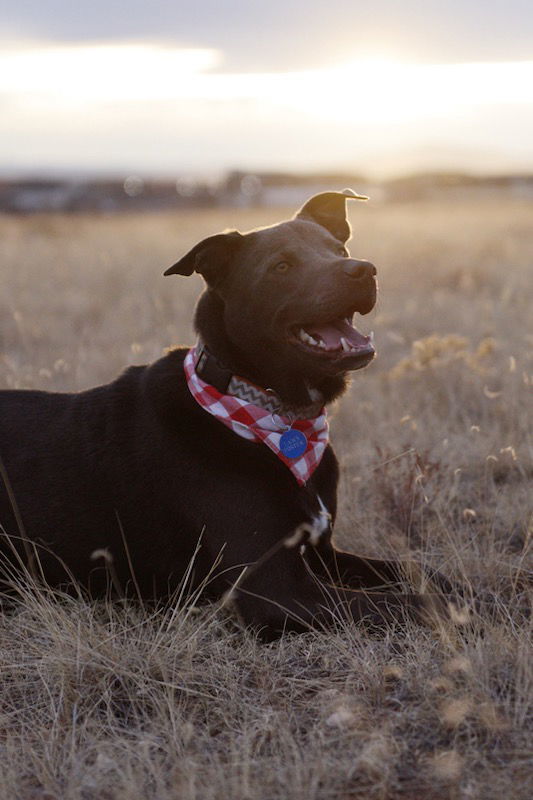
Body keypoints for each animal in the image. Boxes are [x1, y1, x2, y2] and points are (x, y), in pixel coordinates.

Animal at [0, 189, 458, 636]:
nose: (363, 269)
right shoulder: (275, 588)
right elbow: (415, 603)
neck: (266, 410)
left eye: (338, 248)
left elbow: (428, 575)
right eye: (281, 266)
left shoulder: (323, 553)